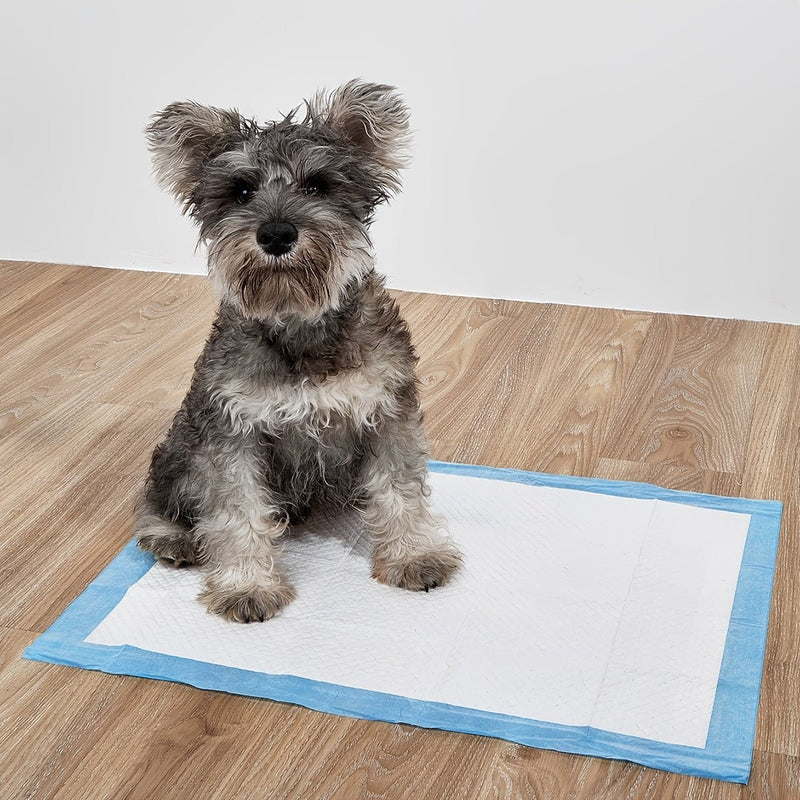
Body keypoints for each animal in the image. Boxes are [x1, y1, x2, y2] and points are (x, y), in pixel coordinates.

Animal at [136, 78, 462, 620]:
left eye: (318, 185)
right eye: (241, 191)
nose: (276, 233)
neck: (299, 326)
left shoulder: (388, 414)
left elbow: (400, 490)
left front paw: (414, 556)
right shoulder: (232, 434)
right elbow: (236, 510)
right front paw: (246, 585)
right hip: (183, 443)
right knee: (162, 497)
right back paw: (172, 538)